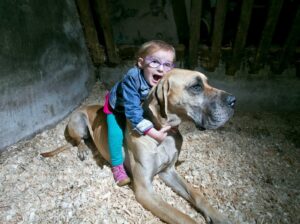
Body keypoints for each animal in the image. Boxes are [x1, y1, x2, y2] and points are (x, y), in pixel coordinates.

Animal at [41, 68, 236, 224]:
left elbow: (198, 195)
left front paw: (219, 217)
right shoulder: (145, 191)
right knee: (78, 140)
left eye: (207, 82)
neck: (163, 133)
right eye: (196, 86)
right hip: (78, 121)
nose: (233, 100)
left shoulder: (168, 171)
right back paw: (82, 150)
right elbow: (185, 218)